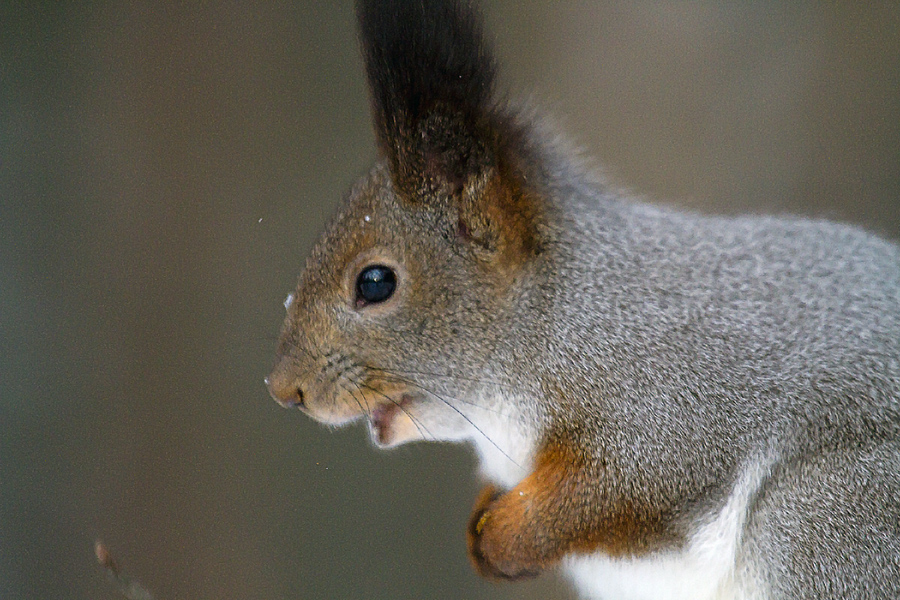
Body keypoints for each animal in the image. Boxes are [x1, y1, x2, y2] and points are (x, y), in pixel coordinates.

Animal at [268, 2, 900, 596]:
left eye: (375, 283)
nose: (282, 389)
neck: (555, 311)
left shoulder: (664, 398)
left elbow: (628, 483)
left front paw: (506, 537)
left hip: (822, 521)